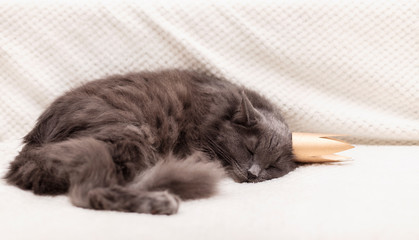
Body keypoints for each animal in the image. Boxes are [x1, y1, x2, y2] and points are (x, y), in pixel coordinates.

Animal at [4, 69, 296, 214]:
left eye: (272, 166)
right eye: (250, 149)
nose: (253, 173)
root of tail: (31, 150)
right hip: (130, 134)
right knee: (89, 192)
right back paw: (162, 202)